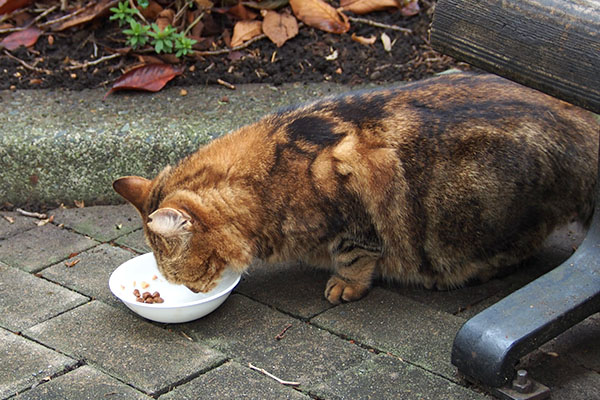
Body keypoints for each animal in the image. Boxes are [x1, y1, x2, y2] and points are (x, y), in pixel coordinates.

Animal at [111, 72, 596, 304]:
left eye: (186, 276)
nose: (194, 294)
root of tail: (579, 121)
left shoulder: (353, 210)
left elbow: (355, 255)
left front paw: (345, 285)